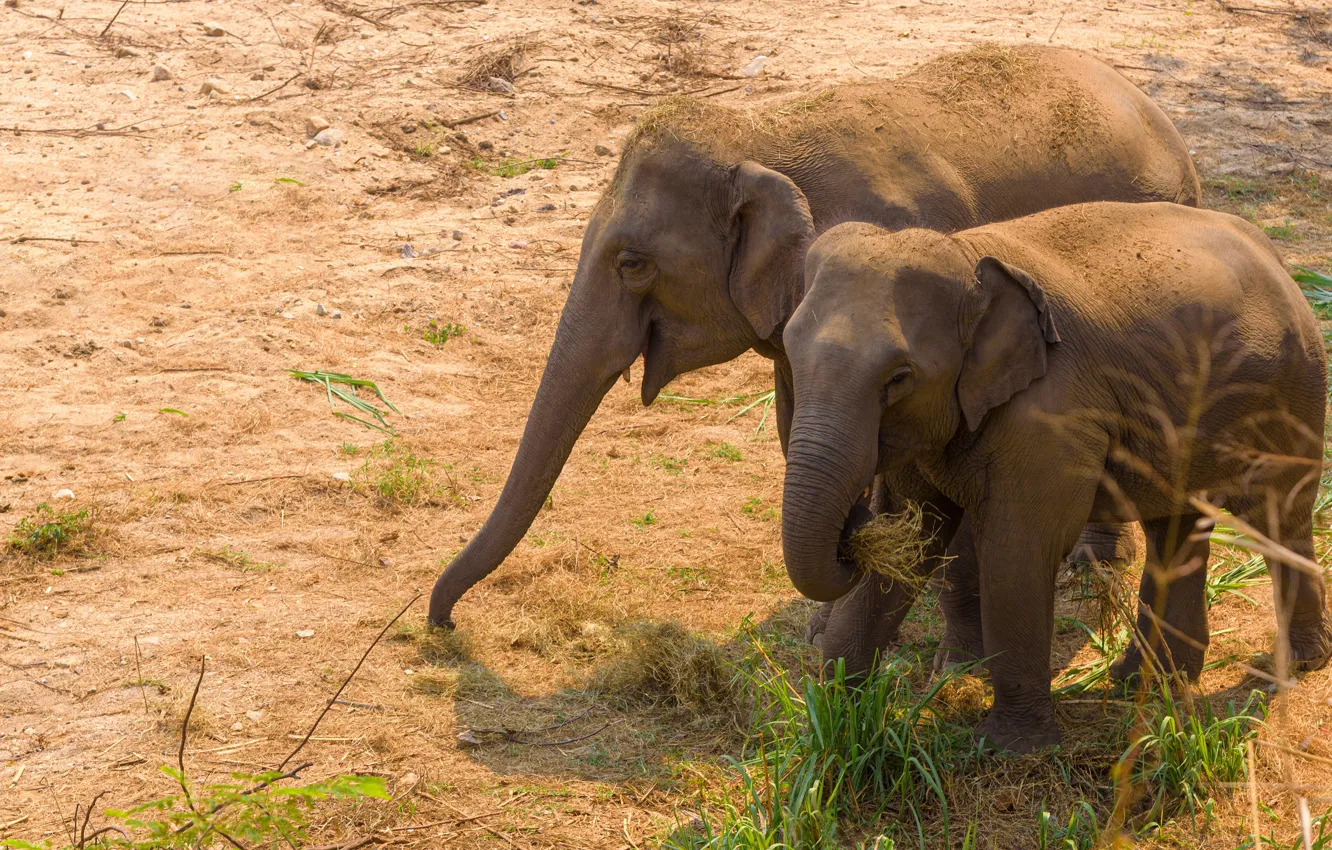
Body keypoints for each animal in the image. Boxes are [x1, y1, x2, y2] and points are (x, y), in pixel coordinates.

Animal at [426, 44, 1204, 656]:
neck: (765, 134)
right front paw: (825, 622)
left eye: (633, 264)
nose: (443, 626)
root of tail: (1169, 129)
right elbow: (797, 423)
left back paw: (1089, 568)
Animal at [779, 201, 1331, 751]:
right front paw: (834, 716)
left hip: (1291, 390)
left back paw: (1297, 664)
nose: (856, 518)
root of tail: (1276, 258)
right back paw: (1146, 682)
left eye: (898, 378)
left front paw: (1009, 748)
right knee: (1174, 528)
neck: (964, 255)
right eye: (788, 352)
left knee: (1279, 514)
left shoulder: (1051, 415)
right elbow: (912, 543)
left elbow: (1017, 551)